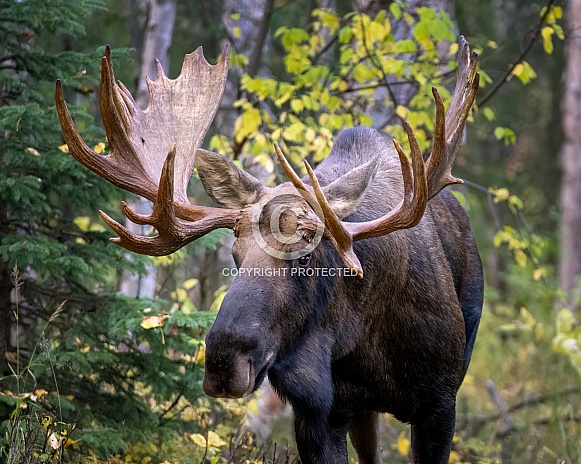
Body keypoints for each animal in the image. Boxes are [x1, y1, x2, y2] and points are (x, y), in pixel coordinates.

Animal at [55, 36, 480, 464]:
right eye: (235, 255)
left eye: (306, 256)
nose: (224, 361)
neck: (362, 339)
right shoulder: (320, 413)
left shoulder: (440, 403)